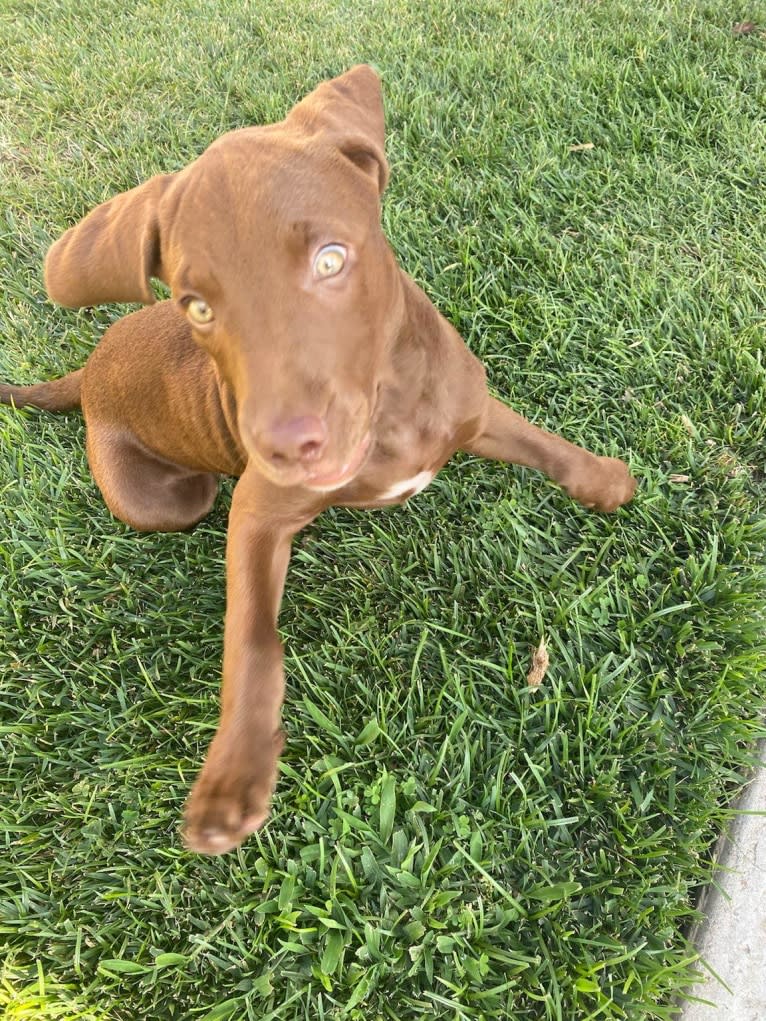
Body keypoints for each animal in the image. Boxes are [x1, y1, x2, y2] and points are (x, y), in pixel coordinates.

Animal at [0, 65, 637, 853]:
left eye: (330, 259)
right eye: (198, 306)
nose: (284, 443)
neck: (392, 410)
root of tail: (86, 373)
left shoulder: (471, 406)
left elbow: (541, 444)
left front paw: (605, 479)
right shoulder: (257, 511)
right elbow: (251, 642)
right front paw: (232, 777)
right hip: (173, 500)